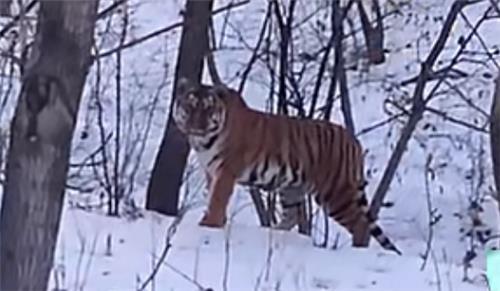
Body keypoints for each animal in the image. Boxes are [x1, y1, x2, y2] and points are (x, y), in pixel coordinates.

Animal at [174, 77, 400, 256]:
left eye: (208, 108)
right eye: (190, 106)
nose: (197, 125)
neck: (203, 141)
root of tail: (354, 140)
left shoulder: (225, 171)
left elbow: (217, 200)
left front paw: (208, 225)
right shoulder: (211, 170)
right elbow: (212, 198)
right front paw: (214, 223)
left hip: (336, 193)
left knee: (361, 224)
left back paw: (357, 251)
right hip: (292, 188)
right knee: (291, 217)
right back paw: (273, 232)